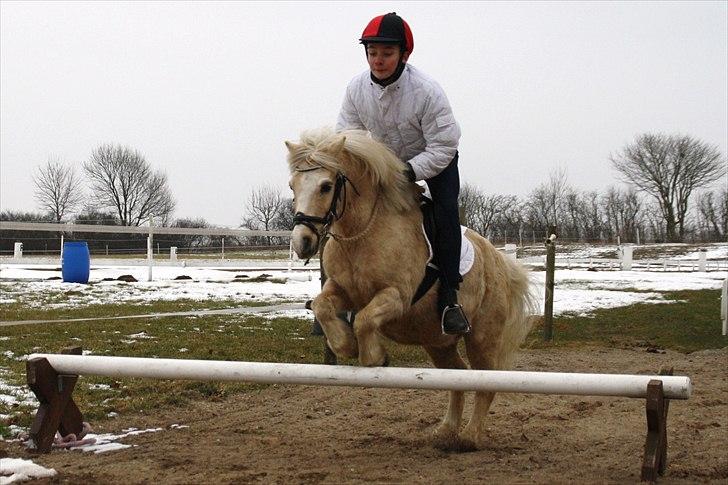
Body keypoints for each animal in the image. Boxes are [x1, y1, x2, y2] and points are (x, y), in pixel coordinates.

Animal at [286, 126, 536, 448]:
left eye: (326, 186)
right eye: (293, 186)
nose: (302, 243)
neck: (361, 233)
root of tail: (499, 260)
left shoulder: (397, 297)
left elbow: (365, 320)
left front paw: (375, 357)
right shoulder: (343, 291)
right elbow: (323, 306)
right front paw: (347, 346)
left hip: (482, 336)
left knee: (486, 380)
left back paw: (469, 437)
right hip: (437, 342)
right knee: (458, 375)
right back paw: (446, 431)